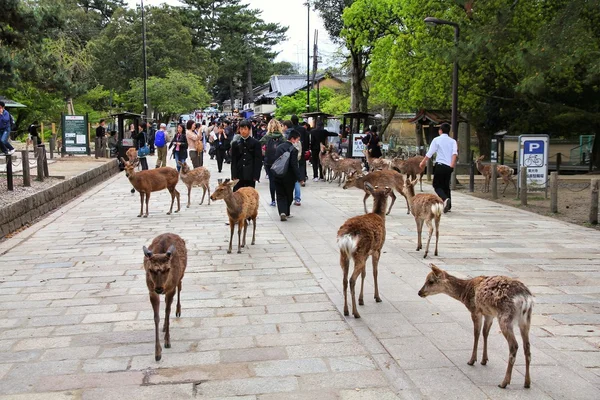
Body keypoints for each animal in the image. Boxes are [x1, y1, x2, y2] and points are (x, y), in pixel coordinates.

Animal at [338, 182, 394, 318]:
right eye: (387, 192)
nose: (391, 191)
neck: (379, 215)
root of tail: (347, 235)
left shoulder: (367, 253)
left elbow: (364, 274)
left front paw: (361, 300)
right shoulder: (377, 249)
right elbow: (375, 272)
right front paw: (377, 297)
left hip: (345, 254)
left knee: (344, 280)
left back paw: (346, 311)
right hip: (359, 252)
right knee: (352, 280)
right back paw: (355, 313)